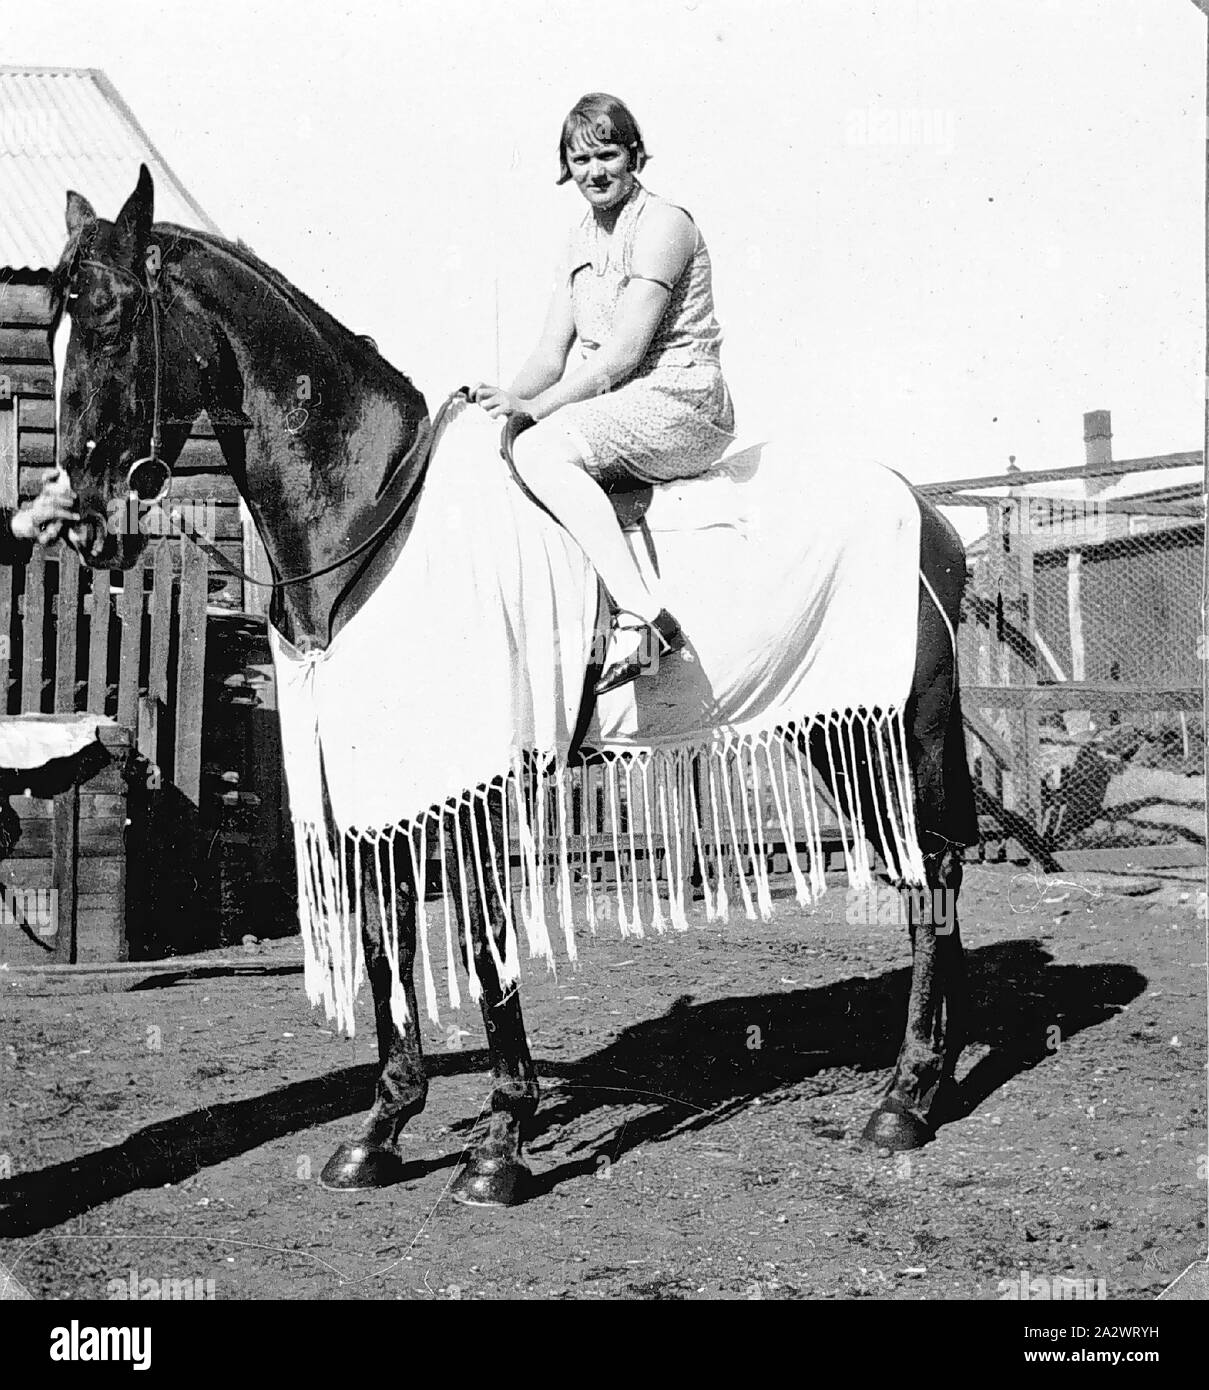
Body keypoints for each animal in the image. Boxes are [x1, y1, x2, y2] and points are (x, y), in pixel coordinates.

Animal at [49, 165, 978, 1206]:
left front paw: (498, 1143)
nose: (81, 513)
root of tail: (926, 512)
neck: (379, 523)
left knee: (935, 875)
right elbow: (386, 938)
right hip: (838, 734)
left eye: (112, 317)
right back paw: (925, 1076)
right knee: (920, 878)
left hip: (895, 729)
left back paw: (904, 1100)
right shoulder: (379, 781)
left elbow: (483, 938)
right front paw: (380, 1131)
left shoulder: (469, 782)